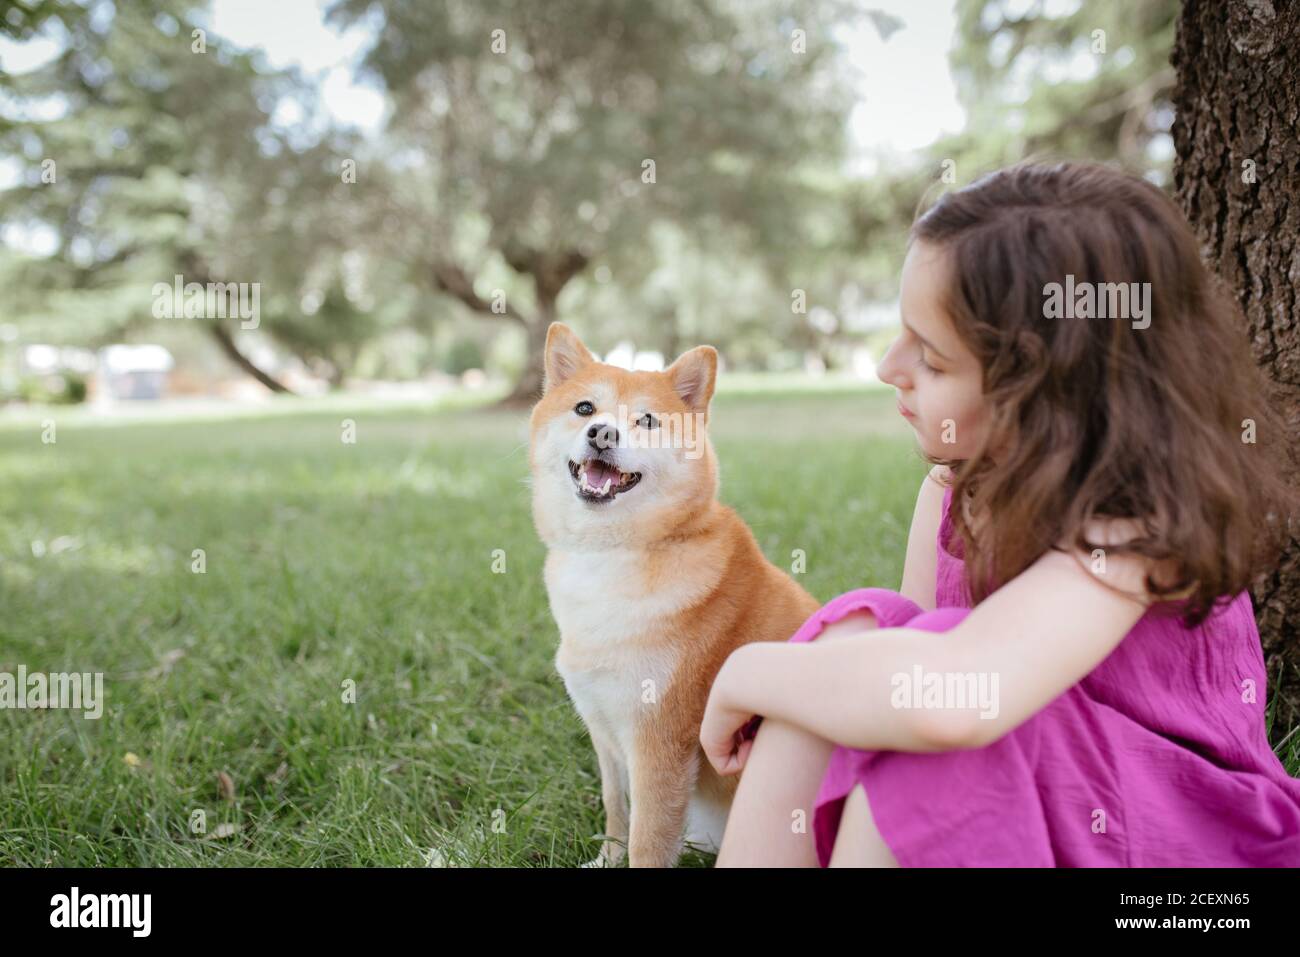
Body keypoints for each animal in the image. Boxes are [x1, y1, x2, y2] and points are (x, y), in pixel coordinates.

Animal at [525, 321, 811, 868]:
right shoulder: (603, 726)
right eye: (585, 409)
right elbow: (616, 808)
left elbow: (648, 836)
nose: (603, 433)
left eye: (647, 421)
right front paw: (606, 858)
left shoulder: (659, 741)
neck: (613, 555)